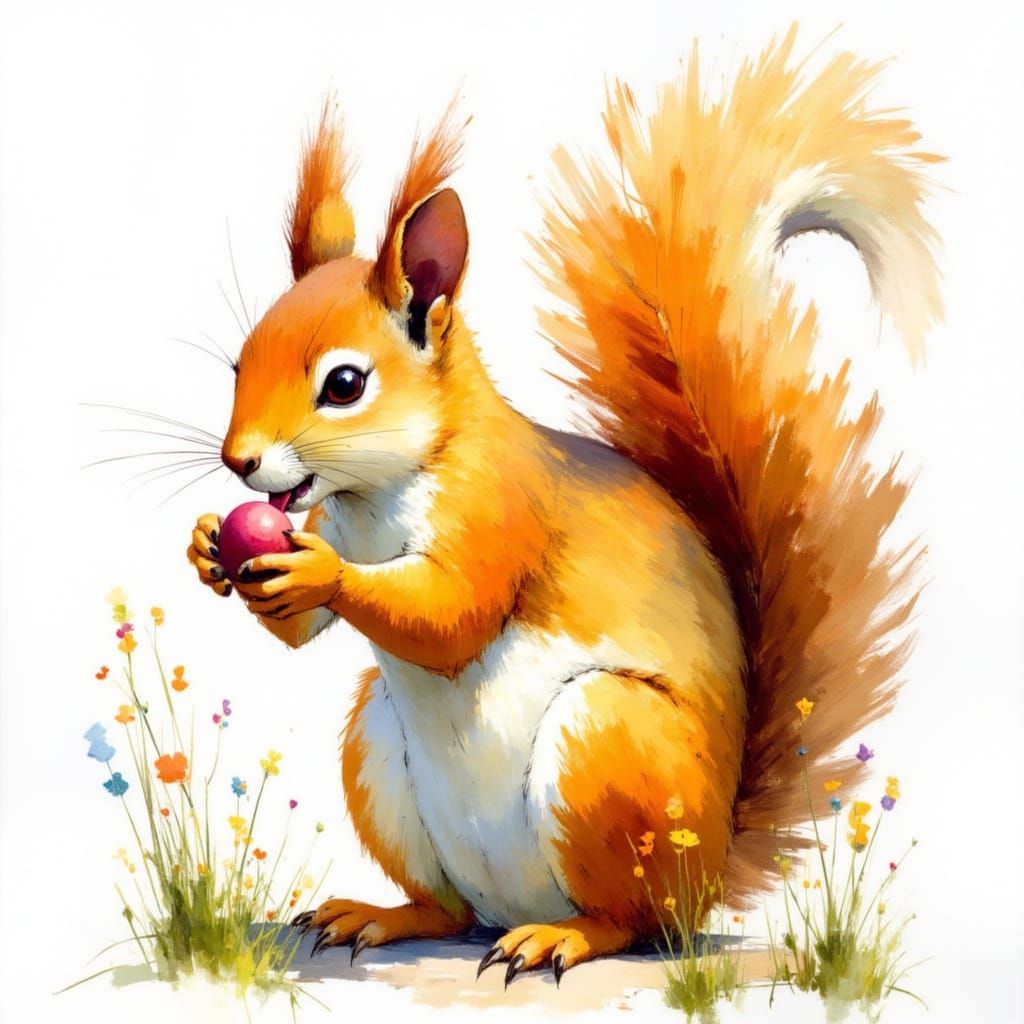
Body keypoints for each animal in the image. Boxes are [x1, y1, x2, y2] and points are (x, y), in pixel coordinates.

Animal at [186, 28, 940, 984]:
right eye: (239, 363)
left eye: (344, 385)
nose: (238, 460)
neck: (374, 497)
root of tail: (704, 879)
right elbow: (303, 633)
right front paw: (210, 548)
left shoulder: (500, 507)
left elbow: (452, 612)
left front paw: (320, 573)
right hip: (377, 750)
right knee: (448, 908)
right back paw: (382, 916)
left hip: (608, 749)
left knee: (629, 920)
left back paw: (563, 937)